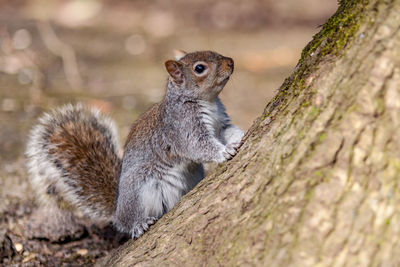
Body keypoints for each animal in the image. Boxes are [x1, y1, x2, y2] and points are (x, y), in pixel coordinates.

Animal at [25, 50, 244, 241]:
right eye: (200, 68)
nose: (231, 62)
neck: (209, 102)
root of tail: (118, 209)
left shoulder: (221, 124)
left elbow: (227, 131)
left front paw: (239, 137)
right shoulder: (183, 128)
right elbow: (199, 146)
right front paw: (225, 151)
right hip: (139, 190)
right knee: (128, 223)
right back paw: (139, 225)